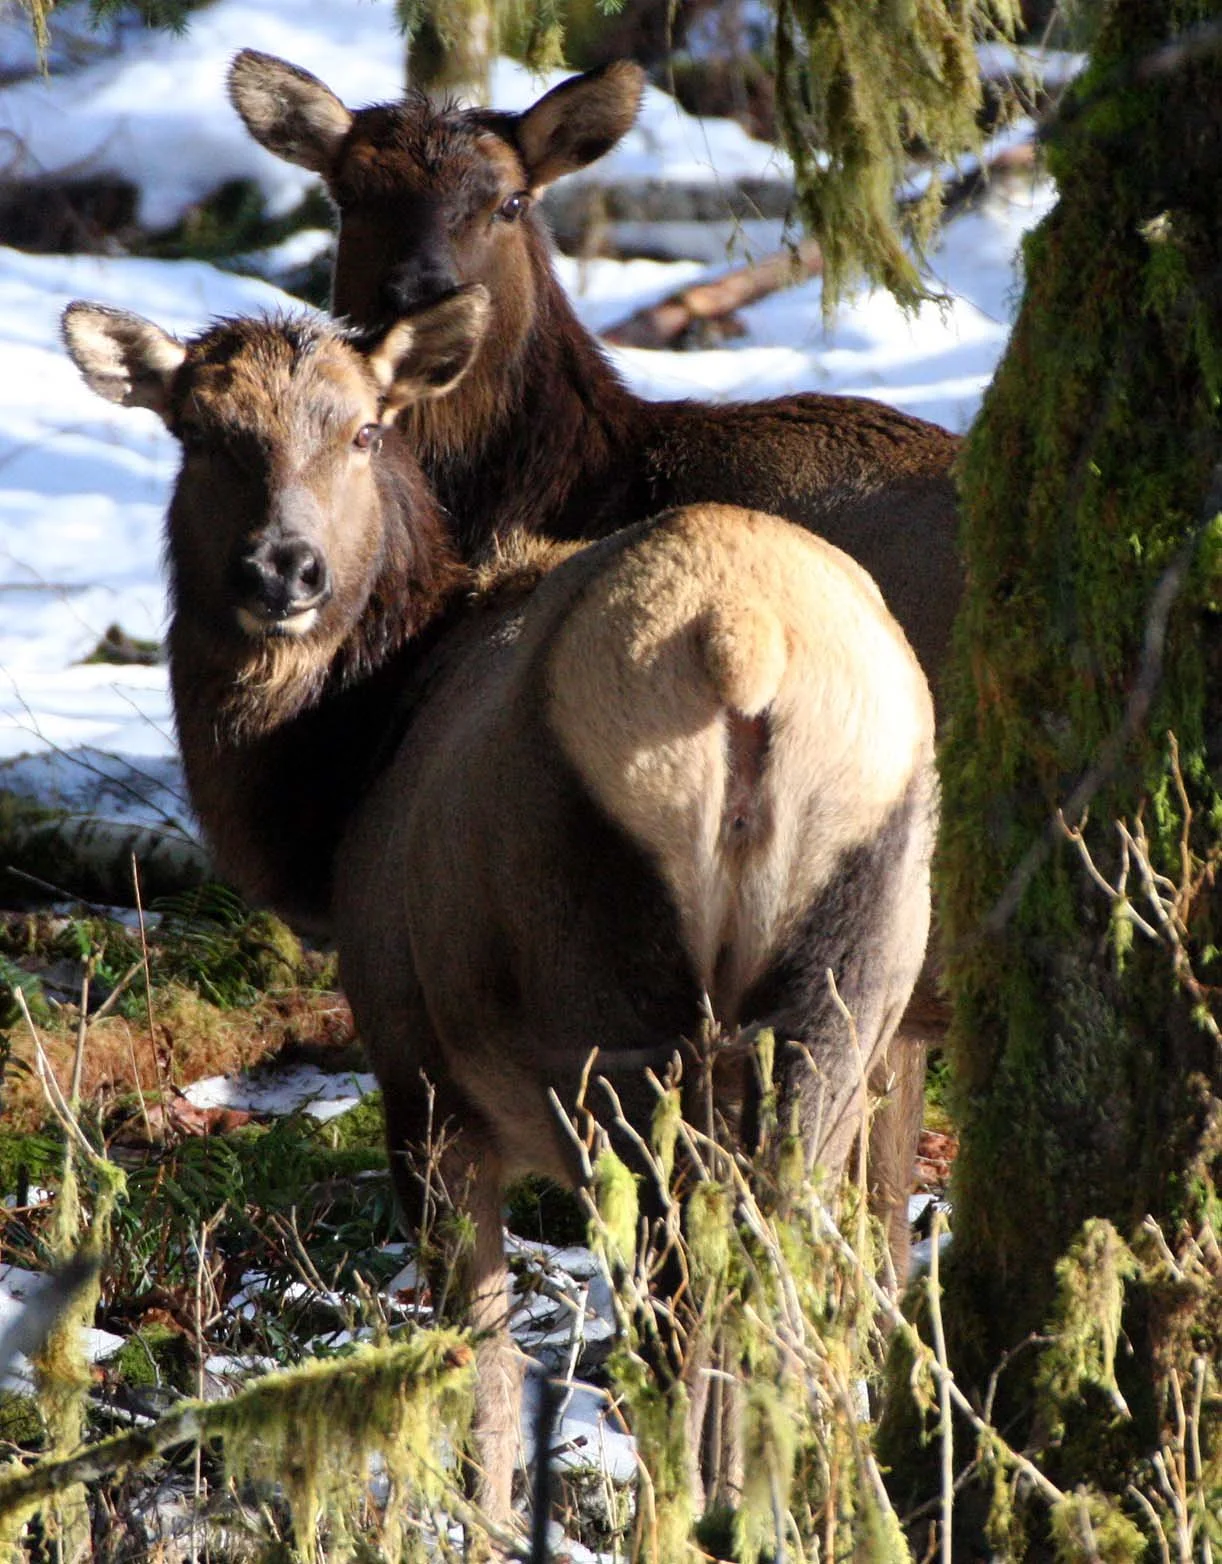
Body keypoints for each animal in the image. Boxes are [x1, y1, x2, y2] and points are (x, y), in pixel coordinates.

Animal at [63, 288, 937, 1528]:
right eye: (200, 430)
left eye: (363, 429)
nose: (284, 570)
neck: (336, 788)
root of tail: (744, 648)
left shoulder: (417, 1069)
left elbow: (473, 1354)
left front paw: (476, 1515)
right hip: (844, 988)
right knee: (777, 1290)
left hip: (611, 1005)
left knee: (677, 1316)